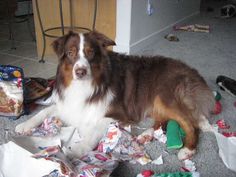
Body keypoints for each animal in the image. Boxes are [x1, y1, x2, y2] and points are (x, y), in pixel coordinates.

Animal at [15, 31, 214, 160]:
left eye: (90, 53)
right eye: (70, 53)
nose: (80, 71)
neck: (86, 85)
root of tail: (192, 72)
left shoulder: (118, 115)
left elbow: (94, 131)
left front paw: (76, 149)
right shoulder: (69, 105)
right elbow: (44, 111)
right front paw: (24, 125)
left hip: (163, 95)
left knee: (190, 123)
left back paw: (188, 150)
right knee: (164, 119)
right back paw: (146, 135)